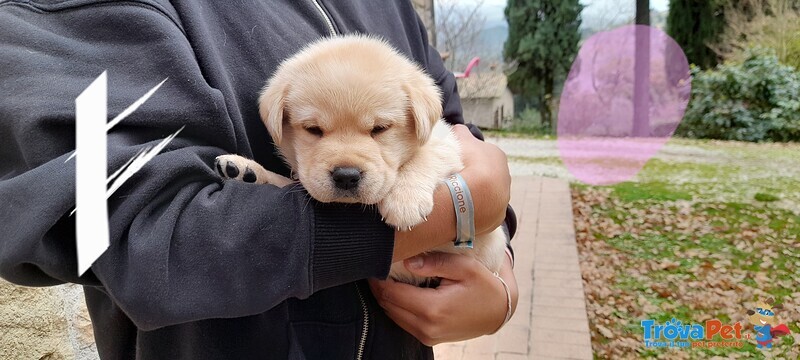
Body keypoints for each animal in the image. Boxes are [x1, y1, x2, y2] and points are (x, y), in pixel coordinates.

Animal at [217, 35, 506, 284]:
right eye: (313, 129)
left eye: (380, 128)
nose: (346, 176)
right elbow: (283, 181)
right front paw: (246, 169)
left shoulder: (447, 141)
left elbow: (426, 156)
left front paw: (405, 200)